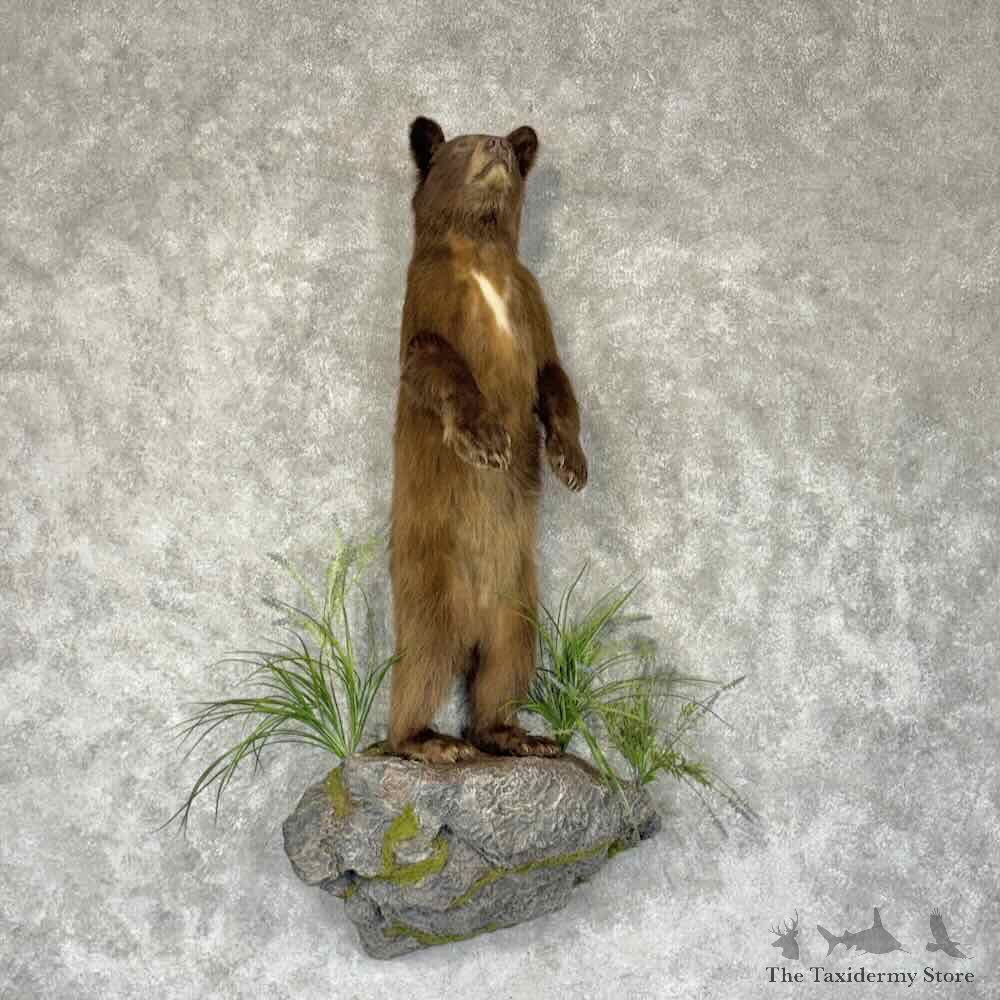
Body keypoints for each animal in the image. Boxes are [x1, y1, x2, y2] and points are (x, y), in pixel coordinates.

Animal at [386, 116, 588, 764]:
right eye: (464, 143)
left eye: (510, 144)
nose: (502, 145)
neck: (480, 261)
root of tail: (472, 628)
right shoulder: (429, 298)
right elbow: (434, 360)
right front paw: (488, 440)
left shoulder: (530, 301)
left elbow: (554, 376)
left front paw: (571, 462)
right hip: (429, 589)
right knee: (421, 667)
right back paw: (428, 741)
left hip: (519, 610)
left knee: (504, 672)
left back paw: (519, 736)